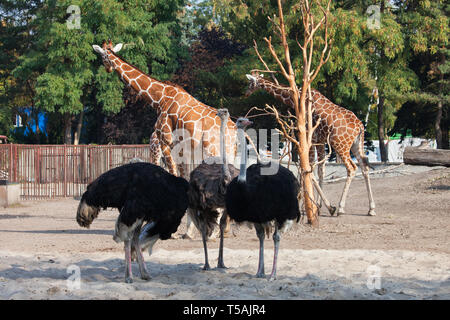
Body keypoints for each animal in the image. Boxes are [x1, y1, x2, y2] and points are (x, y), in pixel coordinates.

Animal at [92, 40, 237, 238]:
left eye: (103, 56)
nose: (107, 68)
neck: (159, 99)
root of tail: (234, 130)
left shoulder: (167, 143)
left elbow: (175, 177)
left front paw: (176, 230)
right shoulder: (185, 151)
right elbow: (185, 180)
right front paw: (189, 231)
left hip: (212, 152)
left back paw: (214, 232)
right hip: (228, 153)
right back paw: (224, 229)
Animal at [246, 72, 376, 216]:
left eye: (250, 83)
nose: (246, 93)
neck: (295, 99)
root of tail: (360, 127)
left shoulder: (311, 138)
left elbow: (309, 169)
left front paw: (322, 206)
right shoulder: (319, 141)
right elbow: (319, 170)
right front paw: (318, 205)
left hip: (340, 145)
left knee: (352, 168)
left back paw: (341, 208)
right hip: (356, 144)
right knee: (364, 166)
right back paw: (371, 209)